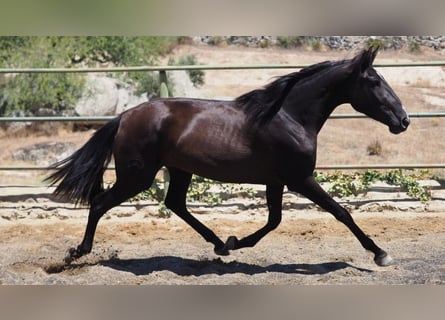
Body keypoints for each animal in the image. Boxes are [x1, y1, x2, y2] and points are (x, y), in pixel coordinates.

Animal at [46, 47, 408, 266]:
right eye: (373, 81)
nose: (403, 120)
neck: (288, 116)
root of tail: (124, 116)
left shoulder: (277, 181)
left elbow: (274, 220)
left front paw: (235, 243)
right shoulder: (300, 179)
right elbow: (341, 212)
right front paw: (380, 254)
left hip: (178, 170)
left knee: (175, 204)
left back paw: (219, 244)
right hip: (138, 175)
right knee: (99, 204)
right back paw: (76, 253)